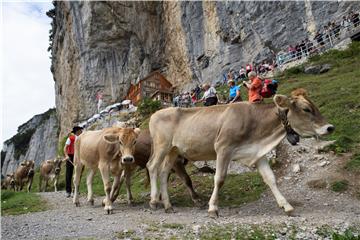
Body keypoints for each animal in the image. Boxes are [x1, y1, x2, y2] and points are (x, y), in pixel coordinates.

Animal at [146, 88, 334, 218]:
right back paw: (154, 201)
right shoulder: (223, 148)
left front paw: (287, 206)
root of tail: (156, 113)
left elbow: (271, 179)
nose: (330, 127)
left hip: (173, 150)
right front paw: (213, 208)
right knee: (152, 166)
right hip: (162, 145)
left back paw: (168, 205)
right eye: (306, 109)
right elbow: (219, 179)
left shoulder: (258, 153)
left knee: (163, 172)